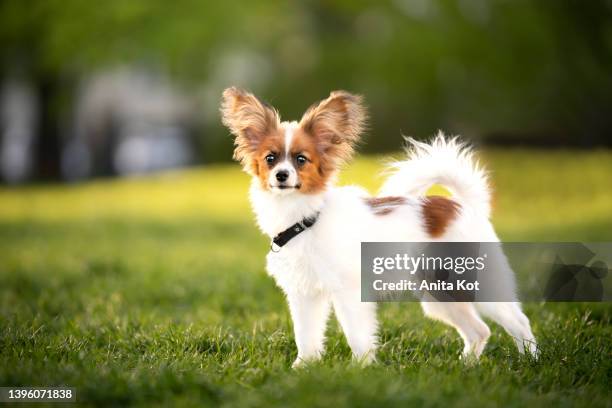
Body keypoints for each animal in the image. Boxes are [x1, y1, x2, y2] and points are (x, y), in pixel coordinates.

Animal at [220, 87, 536, 366]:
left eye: (301, 160)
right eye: (270, 158)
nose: (282, 175)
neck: (305, 219)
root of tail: (464, 205)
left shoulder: (349, 291)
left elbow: (357, 335)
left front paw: (361, 369)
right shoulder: (305, 293)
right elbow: (306, 336)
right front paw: (303, 368)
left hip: (476, 283)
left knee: (518, 320)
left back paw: (531, 361)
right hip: (438, 295)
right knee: (479, 330)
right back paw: (467, 366)